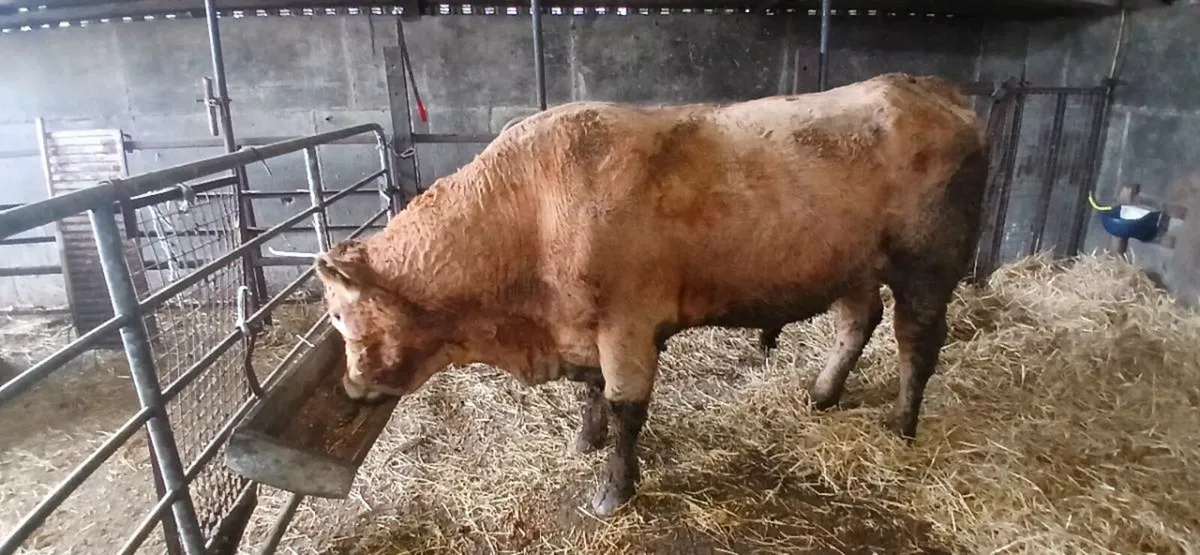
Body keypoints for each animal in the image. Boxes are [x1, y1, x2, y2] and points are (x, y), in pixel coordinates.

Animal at [311, 72, 989, 518]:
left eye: (341, 318)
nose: (349, 387)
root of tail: (924, 88)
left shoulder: (627, 324)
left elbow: (625, 407)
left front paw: (613, 489)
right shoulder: (583, 326)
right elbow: (591, 392)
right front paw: (584, 441)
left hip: (926, 266)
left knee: (916, 343)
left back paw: (901, 423)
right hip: (853, 265)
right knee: (857, 321)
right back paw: (822, 395)